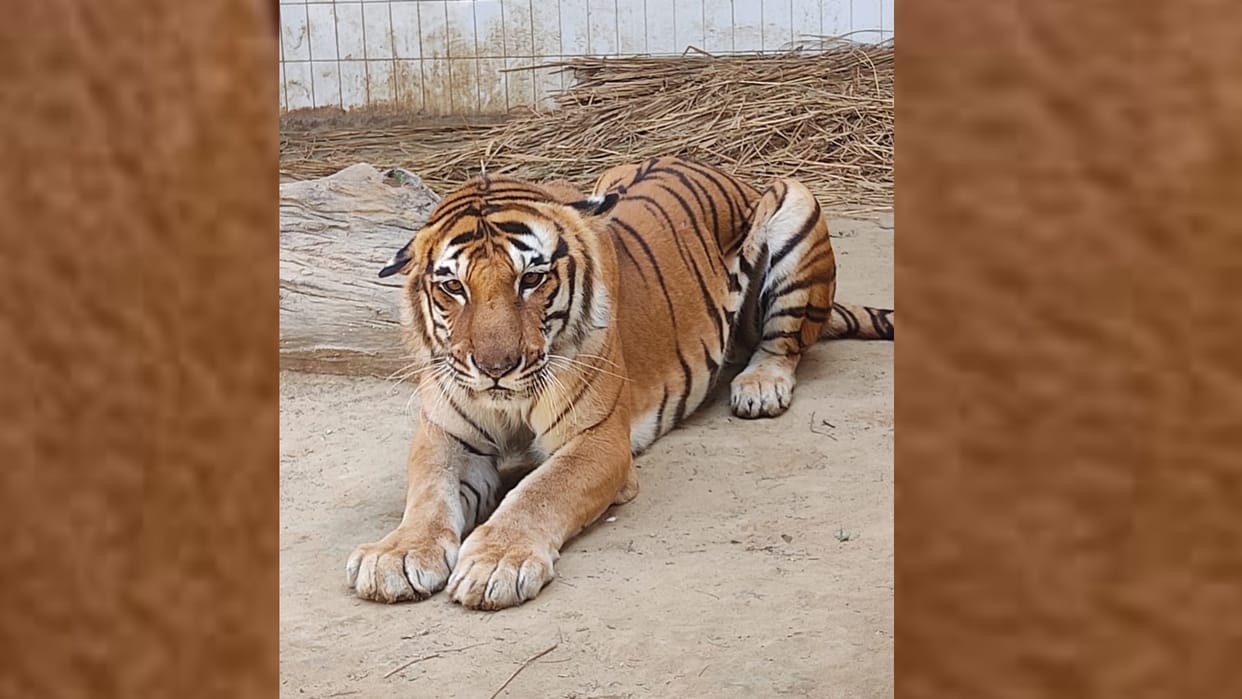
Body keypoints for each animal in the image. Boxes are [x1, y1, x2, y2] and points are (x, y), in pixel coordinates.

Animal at [345, 156, 894, 610]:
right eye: (453, 287)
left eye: (531, 279)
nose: (496, 367)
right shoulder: (445, 436)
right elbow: (428, 493)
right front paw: (397, 554)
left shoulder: (597, 442)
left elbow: (539, 490)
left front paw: (496, 561)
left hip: (795, 200)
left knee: (784, 343)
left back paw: (759, 386)